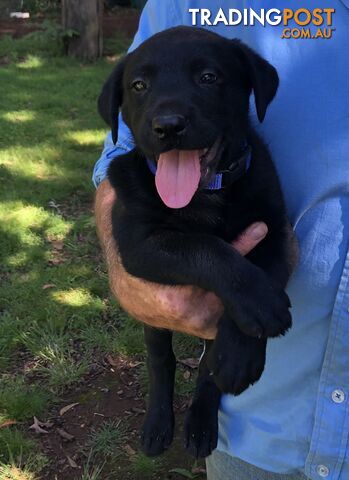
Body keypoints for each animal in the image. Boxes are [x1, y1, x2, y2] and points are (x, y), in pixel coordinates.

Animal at [98, 27, 296, 462]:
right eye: (139, 86)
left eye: (208, 78)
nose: (168, 126)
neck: (205, 196)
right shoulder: (140, 245)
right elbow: (206, 248)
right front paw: (260, 304)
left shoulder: (276, 232)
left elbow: (263, 270)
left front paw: (238, 353)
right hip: (152, 319)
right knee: (160, 359)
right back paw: (158, 425)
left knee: (206, 368)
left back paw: (203, 421)